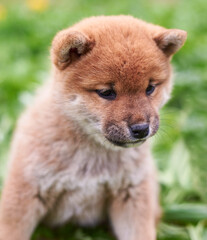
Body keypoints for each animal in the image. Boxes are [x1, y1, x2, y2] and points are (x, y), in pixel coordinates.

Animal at [0, 15, 186, 240]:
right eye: (106, 92)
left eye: (150, 88)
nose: (141, 129)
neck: (91, 156)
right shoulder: (26, 191)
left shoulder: (132, 193)